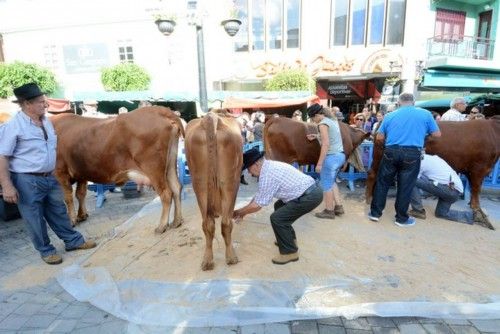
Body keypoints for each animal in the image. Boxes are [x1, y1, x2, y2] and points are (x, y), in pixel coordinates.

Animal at [51, 107, 184, 232]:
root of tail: (158, 109)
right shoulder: (81, 174)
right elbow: (80, 194)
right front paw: (81, 215)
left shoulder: (59, 172)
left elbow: (67, 197)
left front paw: (72, 220)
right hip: (170, 163)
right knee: (176, 187)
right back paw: (176, 221)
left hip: (153, 168)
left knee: (166, 193)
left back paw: (162, 226)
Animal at [186, 109, 244, 272]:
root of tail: (211, 117)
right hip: (231, 182)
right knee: (226, 223)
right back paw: (231, 257)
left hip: (200, 185)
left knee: (208, 224)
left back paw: (207, 260)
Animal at [364, 118, 500, 230]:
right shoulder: (479, 168)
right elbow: (476, 188)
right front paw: (476, 207)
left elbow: (474, 189)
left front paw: (472, 205)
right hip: (380, 157)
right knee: (372, 174)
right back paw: (368, 198)